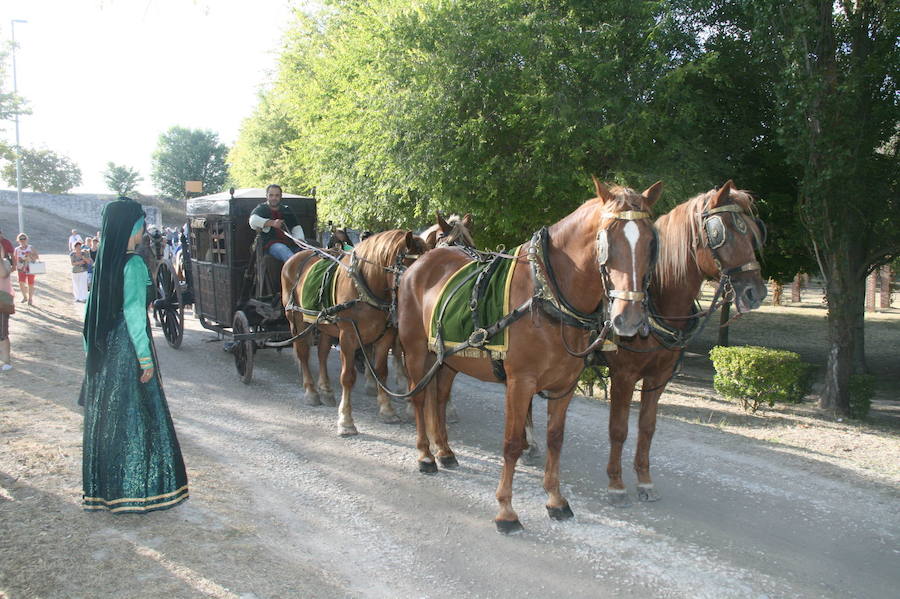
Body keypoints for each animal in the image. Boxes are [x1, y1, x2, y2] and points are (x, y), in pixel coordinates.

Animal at [284, 231, 432, 436]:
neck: (364, 288)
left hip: (326, 325)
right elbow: (348, 377)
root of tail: (295, 257)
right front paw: (346, 421)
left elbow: (381, 372)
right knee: (303, 353)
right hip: (296, 319)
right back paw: (311, 392)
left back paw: (326, 390)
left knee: (322, 354)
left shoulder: (385, 336)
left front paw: (387, 410)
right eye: (414, 275)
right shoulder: (348, 336)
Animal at [400, 176, 660, 532]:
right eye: (606, 240)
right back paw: (425, 455)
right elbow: (511, 444)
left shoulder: (564, 385)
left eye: (650, 242)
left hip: (447, 359)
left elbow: (555, 439)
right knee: (418, 397)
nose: (629, 318)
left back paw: (445, 451)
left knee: (438, 399)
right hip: (415, 352)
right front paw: (506, 510)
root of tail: (419, 265)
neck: (547, 294)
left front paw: (555, 500)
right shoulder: (520, 382)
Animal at [596, 179, 768, 506]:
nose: (756, 292)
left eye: (753, 233)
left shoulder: (659, 377)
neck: (656, 303)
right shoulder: (623, 375)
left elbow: (647, 427)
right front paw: (615, 483)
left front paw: (645, 480)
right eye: (721, 234)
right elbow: (618, 429)